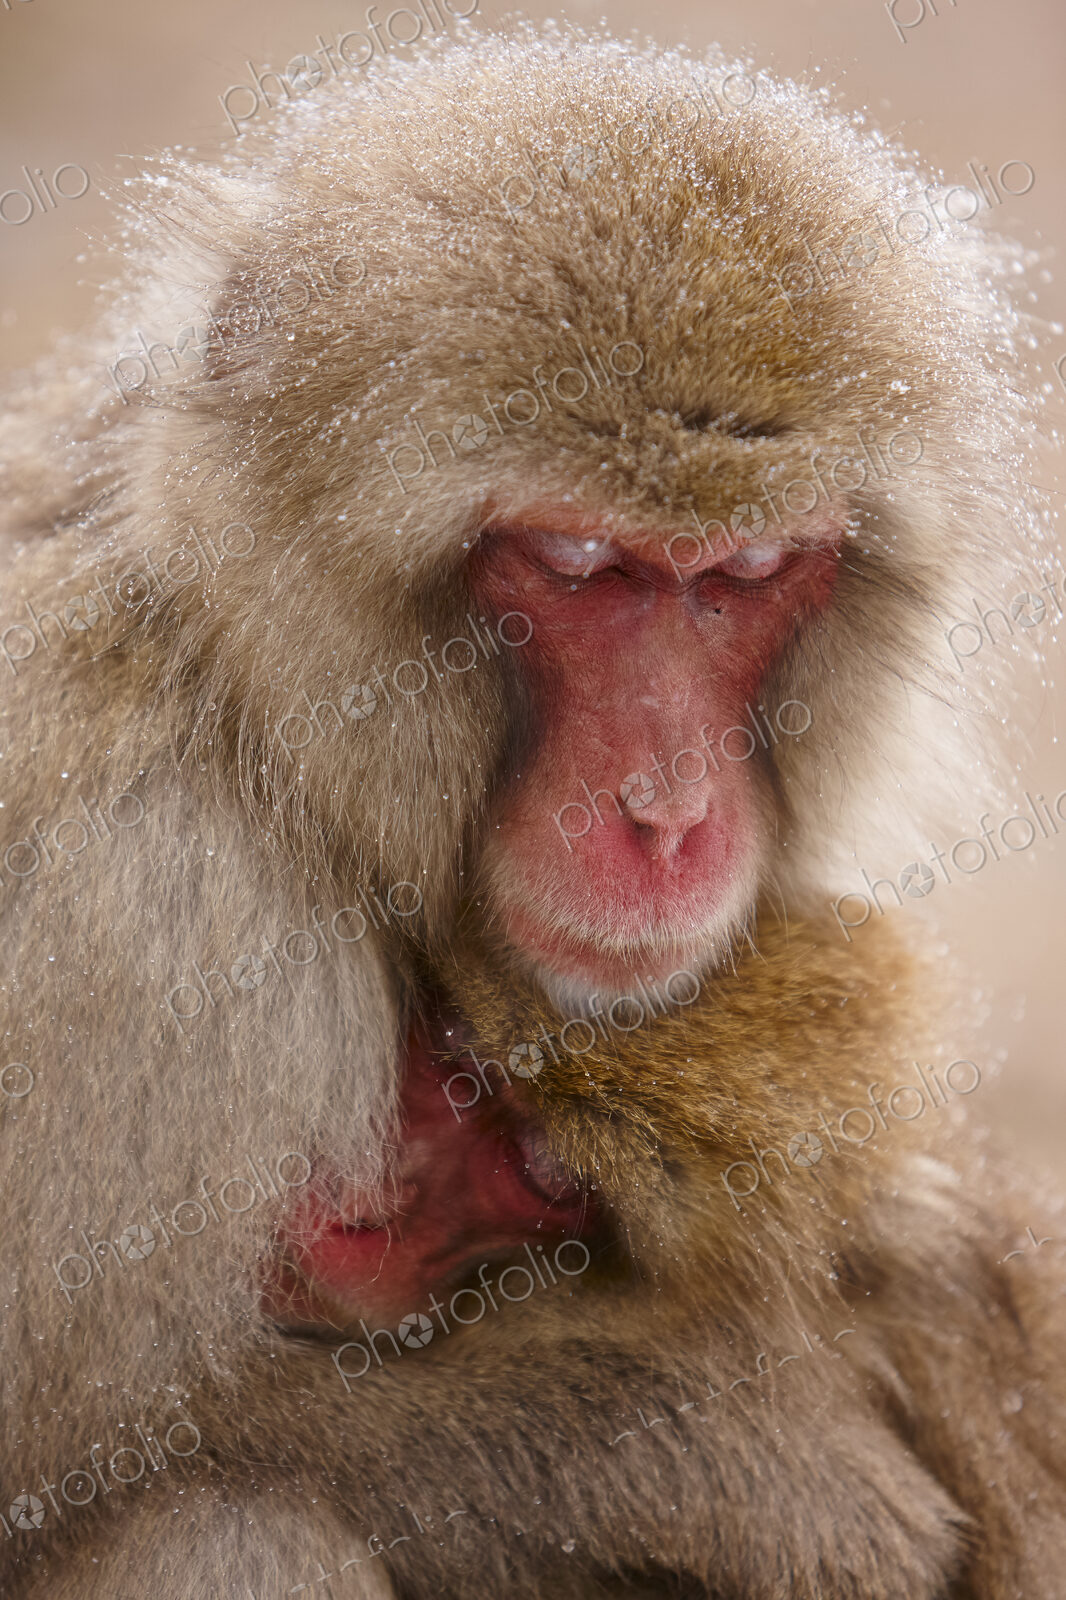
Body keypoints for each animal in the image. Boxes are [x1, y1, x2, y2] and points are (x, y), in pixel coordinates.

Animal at [0, 18, 1062, 1598]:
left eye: (745, 574)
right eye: (577, 564)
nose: (664, 811)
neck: (247, 695)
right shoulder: (142, 934)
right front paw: (714, 1442)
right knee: (231, 1524)